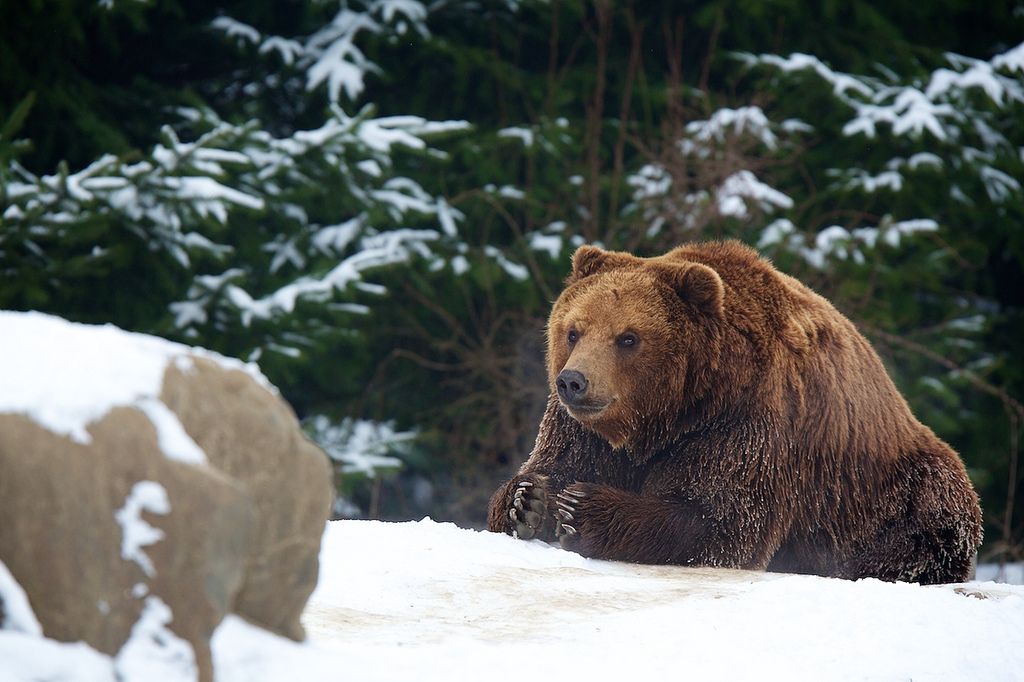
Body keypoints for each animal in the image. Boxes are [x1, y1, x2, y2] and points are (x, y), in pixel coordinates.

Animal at [487, 237, 983, 577]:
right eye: (573, 330)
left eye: (628, 338)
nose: (574, 380)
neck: (668, 416)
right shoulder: (583, 429)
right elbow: (556, 462)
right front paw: (528, 500)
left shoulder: (745, 420)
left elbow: (718, 519)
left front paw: (580, 508)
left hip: (888, 490)